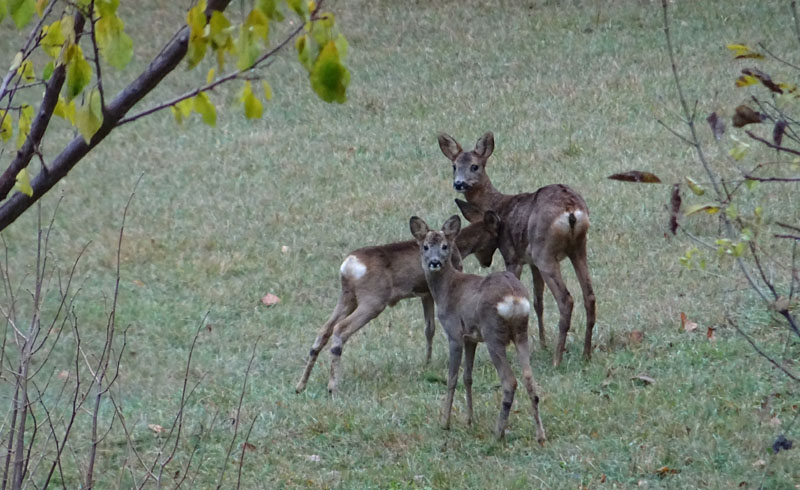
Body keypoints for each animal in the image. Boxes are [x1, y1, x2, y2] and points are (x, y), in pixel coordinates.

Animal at [294, 203, 500, 394]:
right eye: (494, 236)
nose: (487, 262)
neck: (458, 249)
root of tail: (349, 266)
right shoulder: (436, 291)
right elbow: (433, 327)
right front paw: (430, 361)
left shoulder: (424, 293)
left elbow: (428, 328)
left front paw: (427, 362)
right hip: (373, 300)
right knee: (340, 329)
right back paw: (332, 386)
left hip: (347, 297)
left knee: (324, 330)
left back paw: (301, 385)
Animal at [412, 214, 544, 444]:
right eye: (425, 246)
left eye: (445, 246)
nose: (434, 262)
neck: (447, 289)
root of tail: (513, 297)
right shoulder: (470, 338)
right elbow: (468, 377)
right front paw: (469, 420)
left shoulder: (455, 333)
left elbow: (452, 378)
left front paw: (445, 422)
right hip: (521, 332)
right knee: (530, 380)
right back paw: (540, 435)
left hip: (493, 333)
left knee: (510, 381)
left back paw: (498, 433)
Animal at [438, 131, 592, 368]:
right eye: (454, 166)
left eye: (475, 166)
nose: (459, 183)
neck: (499, 204)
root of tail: (571, 211)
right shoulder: (531, 262)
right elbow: (538, 301)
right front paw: (542, 344)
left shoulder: (512, 256)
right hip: (577, 248)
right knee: (589, 295)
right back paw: (585, 354)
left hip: (544, 251)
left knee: (566, 299)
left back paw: (557, 359)